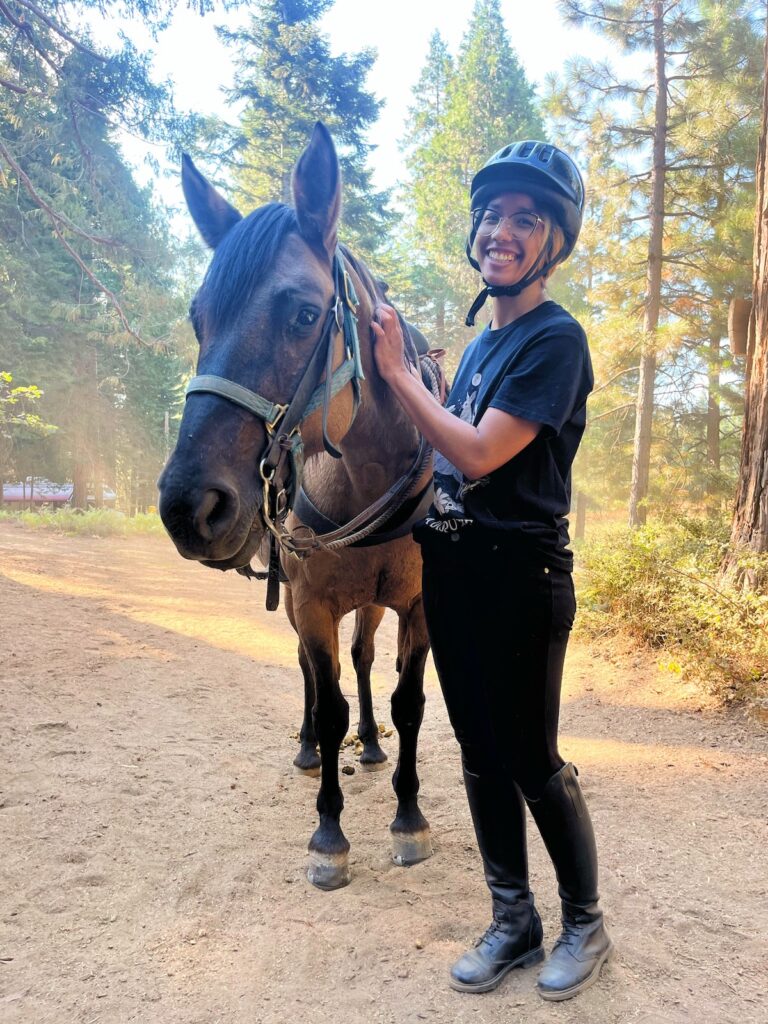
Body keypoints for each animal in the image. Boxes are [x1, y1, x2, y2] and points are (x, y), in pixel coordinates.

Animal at [159, 119, 436, 888]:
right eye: (199, 319)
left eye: (306, 314)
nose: (189, 505)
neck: (367, 477)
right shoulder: (309, 602)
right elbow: (327, 690)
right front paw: (329, 831)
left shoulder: (417, 604)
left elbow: (406, 703)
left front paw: (408, 815)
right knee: (319, 677)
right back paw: (313, 745)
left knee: (364, 661)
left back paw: (369, 742)